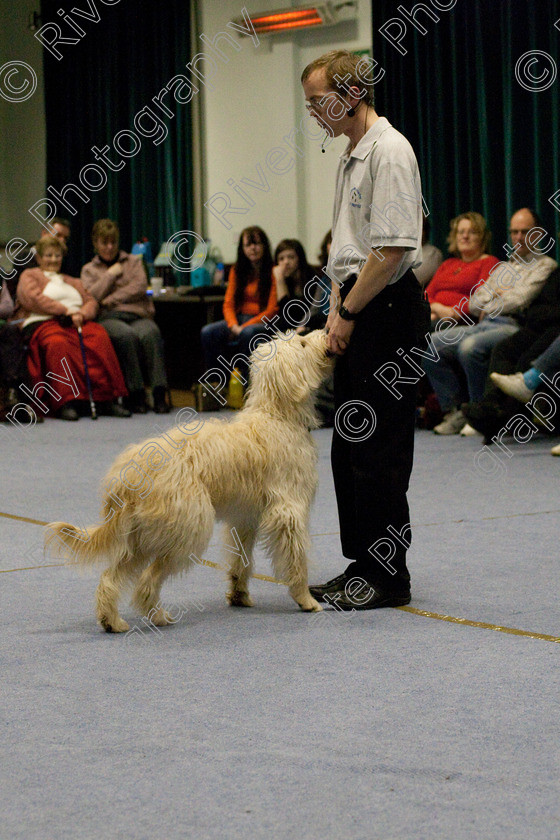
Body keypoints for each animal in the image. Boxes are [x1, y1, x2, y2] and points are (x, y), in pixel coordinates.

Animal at [47, 328, 332, 632]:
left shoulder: (245, 518)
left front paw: (239, 594)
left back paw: (111, 620)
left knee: (111, 577)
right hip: (186, 529)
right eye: (302, 343)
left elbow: (241, 561)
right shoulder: (288, 512)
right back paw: (158, 616)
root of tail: (128, 476)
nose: (327, 331)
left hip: (139, 536)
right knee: (146, 581)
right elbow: (295, 559)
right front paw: (304, 599)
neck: (278, 416)